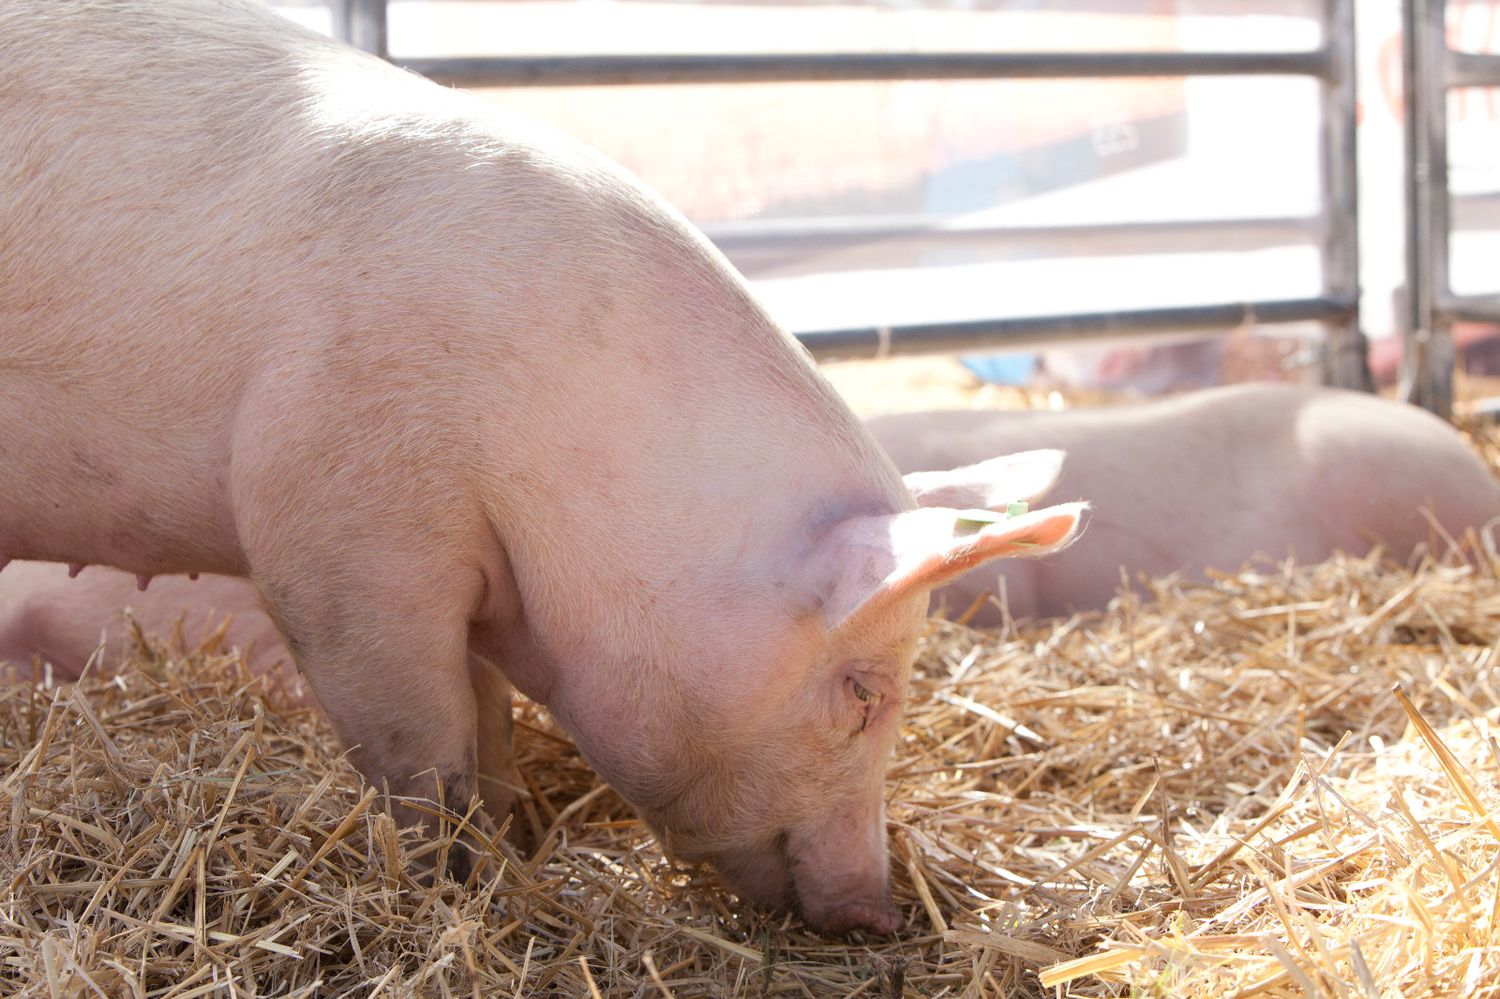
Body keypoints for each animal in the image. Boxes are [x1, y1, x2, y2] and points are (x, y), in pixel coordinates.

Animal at [0, 1, 1086, 936]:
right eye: (863, 694)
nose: (882, 911)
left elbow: (488, 722)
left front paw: (512, 842)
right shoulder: (338, 538)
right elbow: (421, 744)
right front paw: (450, 879)